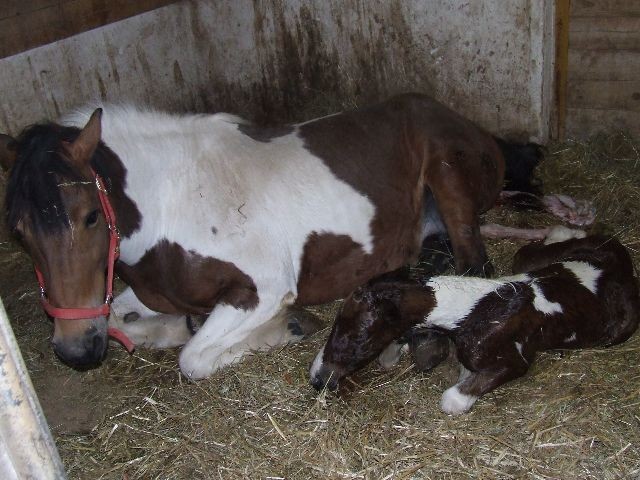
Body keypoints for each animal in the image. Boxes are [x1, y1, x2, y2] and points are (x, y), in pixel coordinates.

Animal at [1, 94, 540, 378]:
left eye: (91, 216)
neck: (174, 200)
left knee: (474, 268)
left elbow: (194, 359)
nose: (76, 351)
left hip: (449, 181)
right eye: (20, 231)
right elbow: (123, 313)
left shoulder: (261, 290)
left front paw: (283, 329)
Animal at [308, 229, 636, 412]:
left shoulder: (513, 361)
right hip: (536, 259)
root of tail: (623, 261)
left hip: (617, 331)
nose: (317, 380)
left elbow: (453, 397)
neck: (473, 307)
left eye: (357, 338)